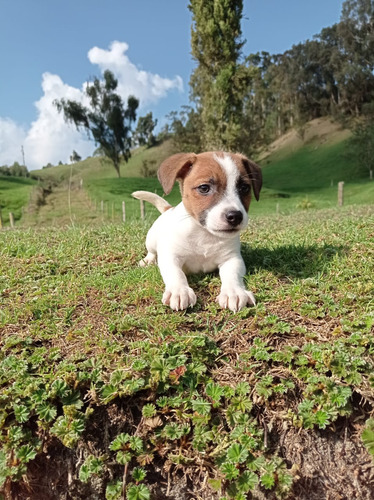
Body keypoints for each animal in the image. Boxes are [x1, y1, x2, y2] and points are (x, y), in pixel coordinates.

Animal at [133, 150, 262, 310]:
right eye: (204, 188)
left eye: (244, 188)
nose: (235, 216)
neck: (204, 234)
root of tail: (169, 209)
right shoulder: (171, 257)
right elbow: (176, 273)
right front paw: (179, 291)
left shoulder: (232, 259)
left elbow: (233, 275)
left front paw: (234, 292)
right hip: (151, 239)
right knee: (151, 252)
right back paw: (148, 261)